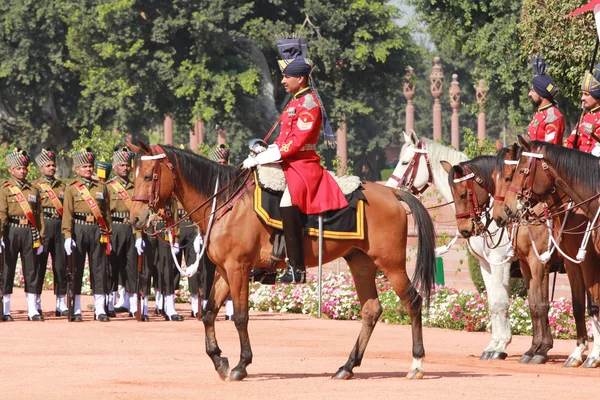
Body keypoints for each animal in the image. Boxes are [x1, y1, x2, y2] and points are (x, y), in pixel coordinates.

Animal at [130, 142, 436, 380]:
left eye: (148, 175)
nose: (134, 218)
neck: (226, 203)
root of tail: (392, 192)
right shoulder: (224, 271)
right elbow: (208, 313)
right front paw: (219, 360)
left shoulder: (239, 268)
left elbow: (240, 317)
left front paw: (241, 364)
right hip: (360, 262)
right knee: (371, 310)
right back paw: (347, 366)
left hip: (391, 264)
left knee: (413, 301)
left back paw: (416, 363)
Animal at [386, 131, 512, 360]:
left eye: (405, 162)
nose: (389, 188)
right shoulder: (485, 263)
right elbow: (493, 302)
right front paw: (494, 344)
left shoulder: (500, 261)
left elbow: (501, 302)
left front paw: (501, 347)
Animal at [502, 136, 600, 368]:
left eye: (521, 171)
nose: (506, 210)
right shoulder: (567, 263)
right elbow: (571, 305)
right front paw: (576, 352)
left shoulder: (585, 262)